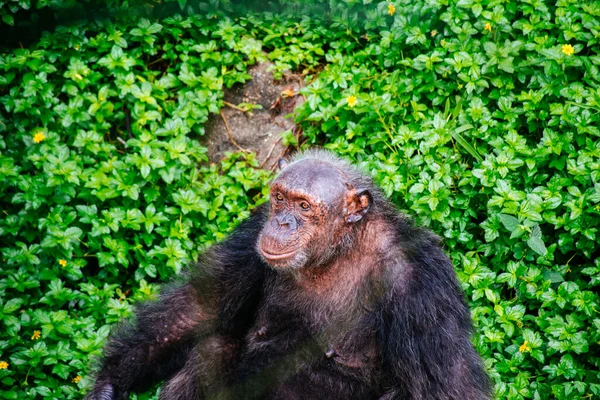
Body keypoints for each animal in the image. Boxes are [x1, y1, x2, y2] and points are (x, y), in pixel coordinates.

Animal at [84, 150, 490, 400]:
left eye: (305, 206)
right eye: (279, 197)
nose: (282, 223)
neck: (334, 252)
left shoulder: (420, 284)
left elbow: (439, 386)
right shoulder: (251, 234)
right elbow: (198, 310)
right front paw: (108, 384)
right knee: (213, 347)